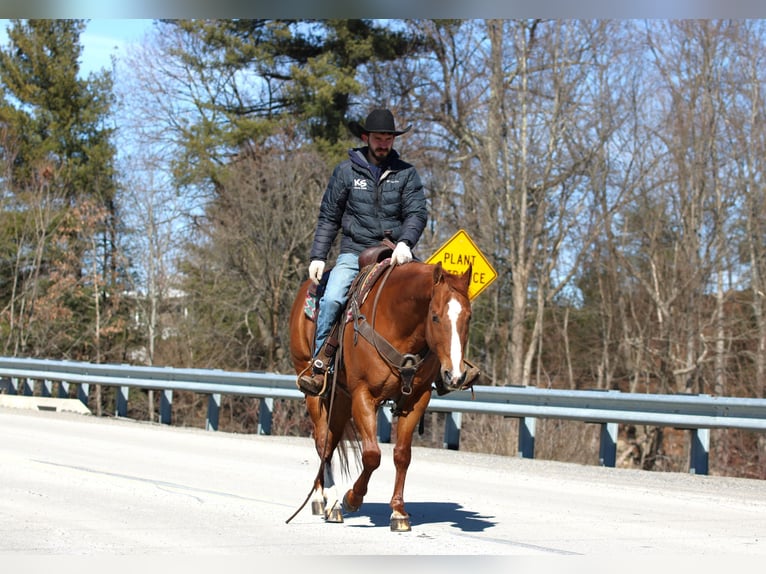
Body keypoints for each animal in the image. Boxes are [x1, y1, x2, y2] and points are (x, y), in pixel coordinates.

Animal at [287, 257, 473, 531]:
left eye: (468, 317)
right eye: (435, 317)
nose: (455, 375)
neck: (397, 323)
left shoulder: (416, 400)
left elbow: (402, 455)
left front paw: (398, 512)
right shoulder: (364, 395)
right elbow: (372, 455)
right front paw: (352, 498)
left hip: (340, 398)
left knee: (330, 442)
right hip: (313, 388)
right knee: (322, 441)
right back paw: (330, 501)